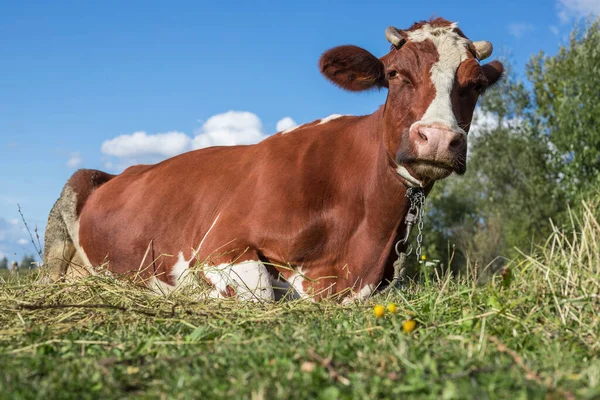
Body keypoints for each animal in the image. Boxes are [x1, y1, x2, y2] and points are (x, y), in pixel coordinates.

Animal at [41, 18, 502, 300]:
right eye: (394, 74)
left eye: (476, 85)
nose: (438, 138)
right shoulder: (217, 244)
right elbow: (259, 291)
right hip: (68, 205)